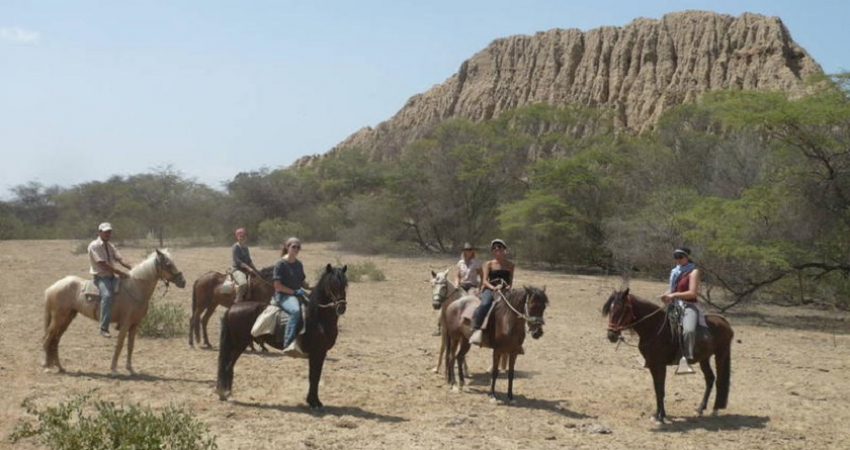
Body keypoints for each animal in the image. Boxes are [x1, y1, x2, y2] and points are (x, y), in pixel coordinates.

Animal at [42, 250, 186, 376]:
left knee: (55, 341)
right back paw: (46, 367)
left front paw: (131, 369)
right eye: (167, 264)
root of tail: (51, 288)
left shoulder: (134, 325)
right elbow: (120, 345)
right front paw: (114, 370)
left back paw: (60, 367)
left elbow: (130, 346)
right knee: (47, 340)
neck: (135, 289)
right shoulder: (125, 324)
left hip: (66, 319)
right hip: (58, 319)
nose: (182, 281)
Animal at [215, 264, 348, 408]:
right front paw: (314, 402)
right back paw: (225, 393)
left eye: (345, 284)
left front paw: (313, 401)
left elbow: (315, 376)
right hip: (239, 345)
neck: (317, 318)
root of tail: (231, 309)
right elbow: (314, 377)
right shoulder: (317, 352)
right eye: (332, 284)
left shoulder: (320, 353)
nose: (341, 307)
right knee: (228, 366)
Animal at [600, 288, 732, 422]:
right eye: (610, 309)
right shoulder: (653, 365)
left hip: (721, 355)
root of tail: (724, 322)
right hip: (704, 358)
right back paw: (700, 409)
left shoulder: (660, 365)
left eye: (622, 309)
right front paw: (658, 414)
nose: (611, 335)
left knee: (720, 380)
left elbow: (661, 389)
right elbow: (657, 389)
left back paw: (715, 409)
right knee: (710, 378)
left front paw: (661, 416)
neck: (655, 328)